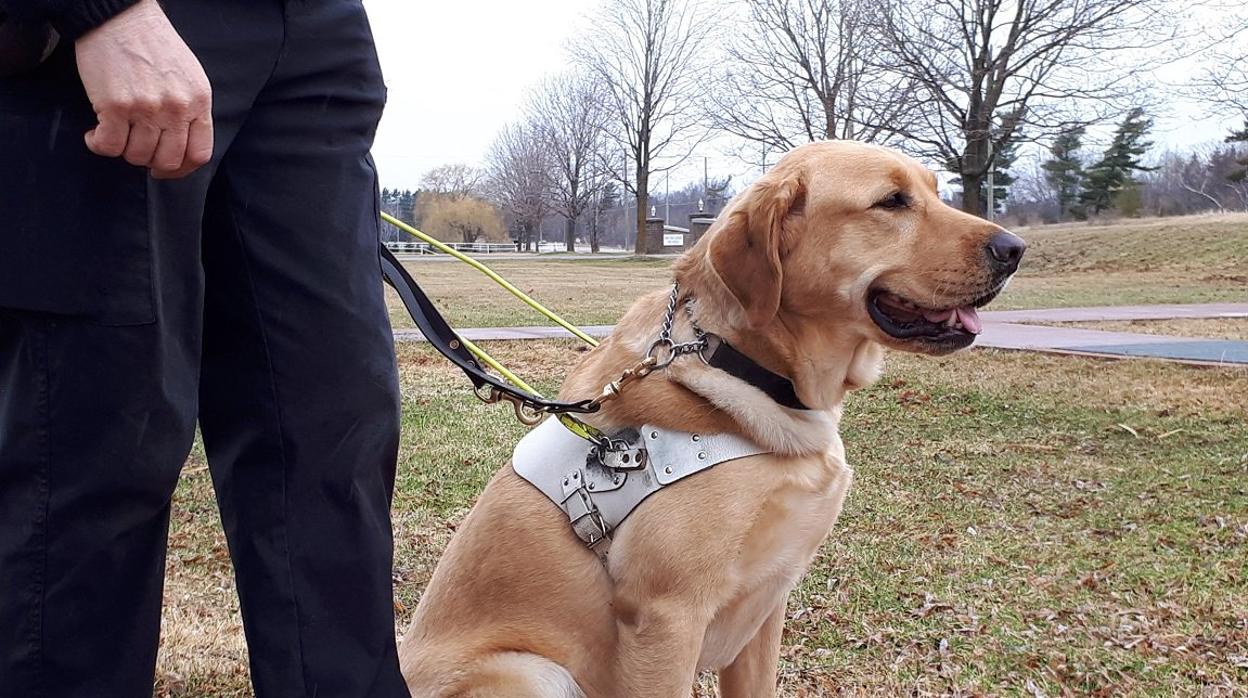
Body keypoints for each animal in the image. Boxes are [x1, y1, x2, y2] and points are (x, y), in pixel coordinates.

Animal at [396, 139, 1023, 694]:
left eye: (935, 191)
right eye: (891, 202)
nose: (1014, 248)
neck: (748, 370)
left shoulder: (768, 604)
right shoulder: (666, 617)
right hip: (537, 672)